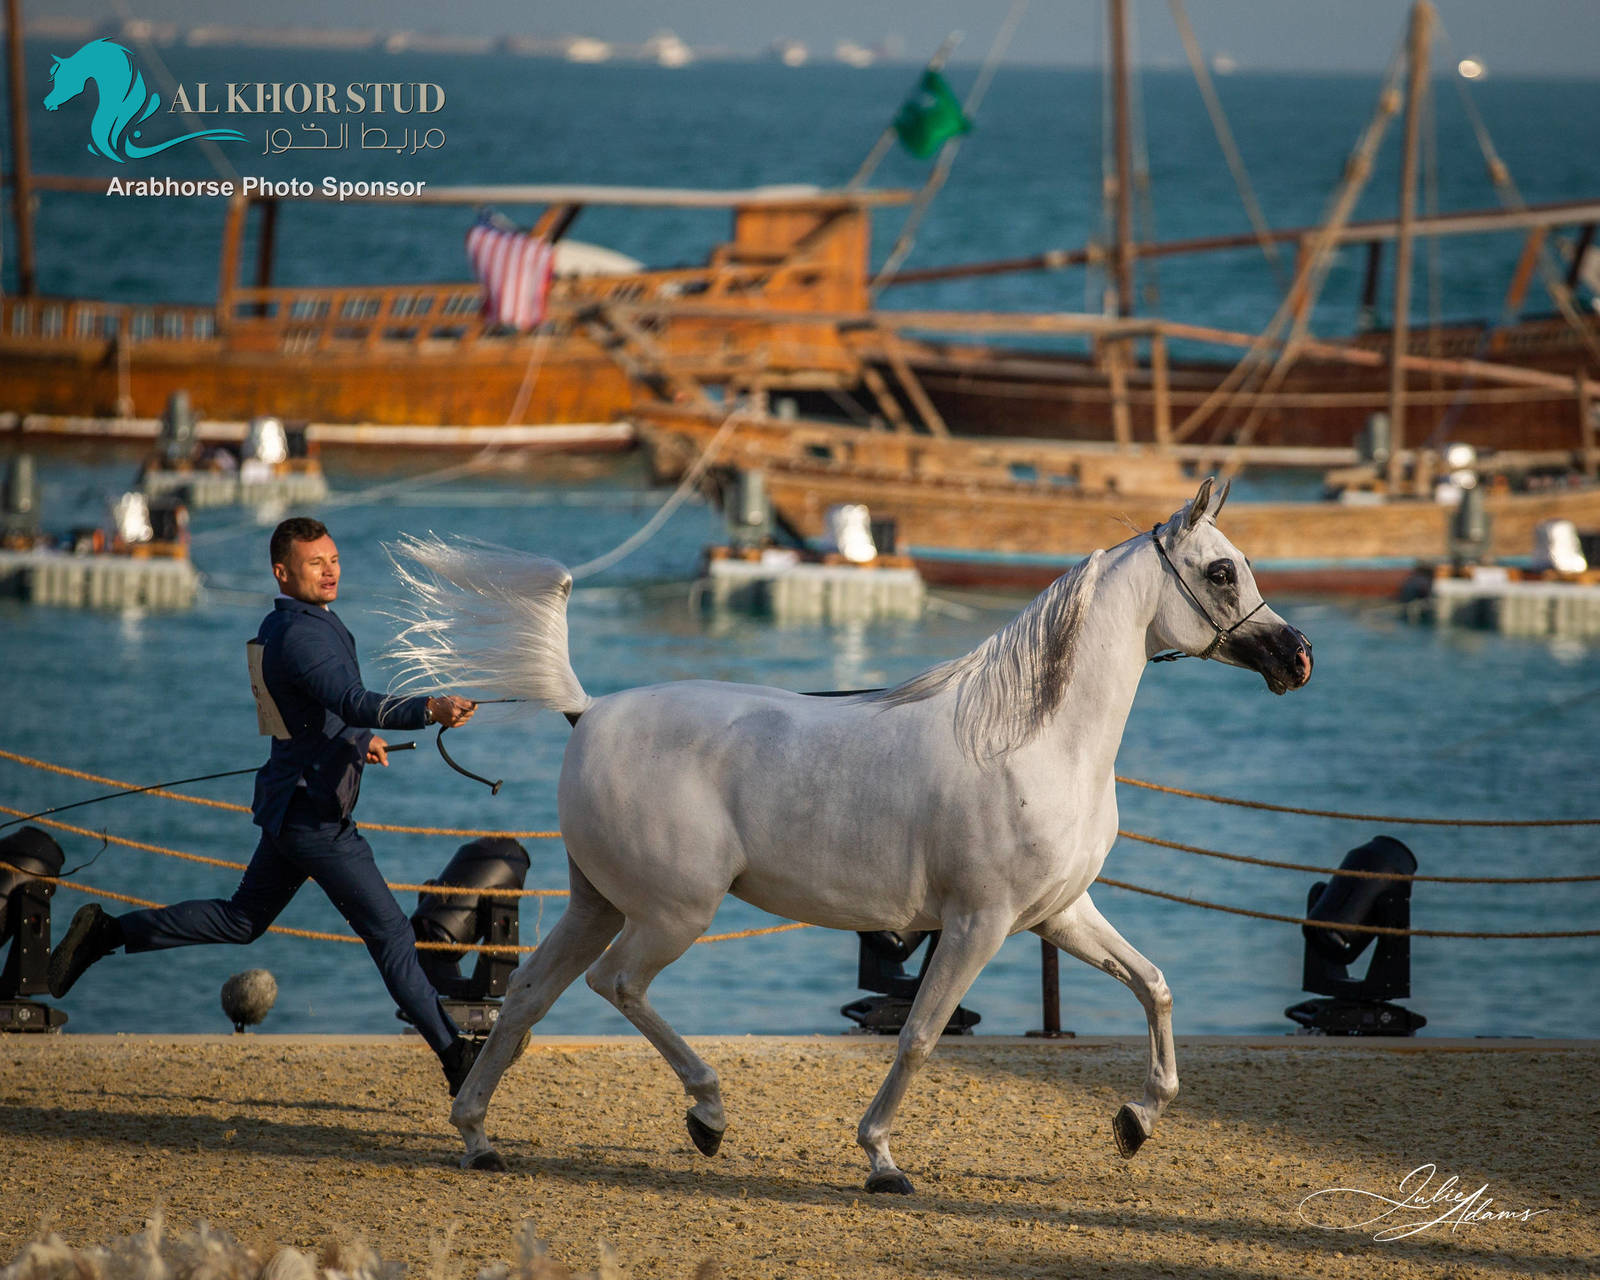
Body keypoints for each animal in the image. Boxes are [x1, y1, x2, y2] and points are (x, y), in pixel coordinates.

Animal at [387, 477, 1313, 1192]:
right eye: (1221, 570)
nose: (1296, 658)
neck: (1034, 740)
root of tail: (589, 710)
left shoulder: (1059, 914)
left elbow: (1154, 986)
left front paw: (1135, 1121)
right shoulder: (977, 923)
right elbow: (920, 1036)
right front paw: (881, 1161)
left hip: (599, 904)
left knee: (527, 997)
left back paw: (478, 1138)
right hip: (670, 915)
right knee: (616, 986)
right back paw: (708, 1113)